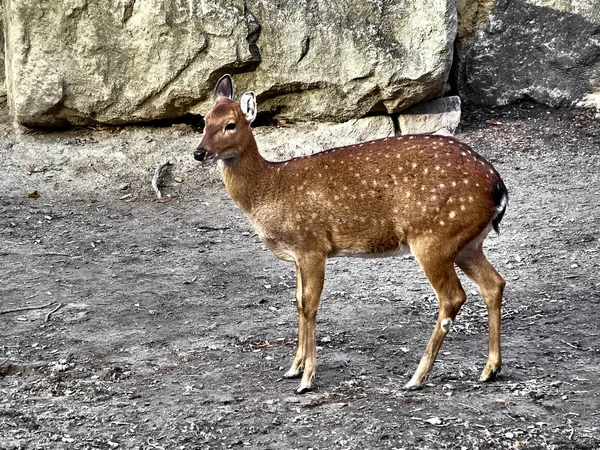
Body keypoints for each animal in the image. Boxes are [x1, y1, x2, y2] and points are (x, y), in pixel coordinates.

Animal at [195, 74, 508, 394]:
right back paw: (489, 370)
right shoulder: (297, 255)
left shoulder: (312, 244)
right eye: (204, 120)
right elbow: (298, 302)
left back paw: (416, 377)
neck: (270, 188)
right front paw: (293, 368)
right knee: (494, 283)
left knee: (452, 297)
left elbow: (310, 305)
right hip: (466, 242)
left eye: (230, 124)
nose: (199, 153)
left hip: (434, 237)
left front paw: (306, 379)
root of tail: (498, 187)